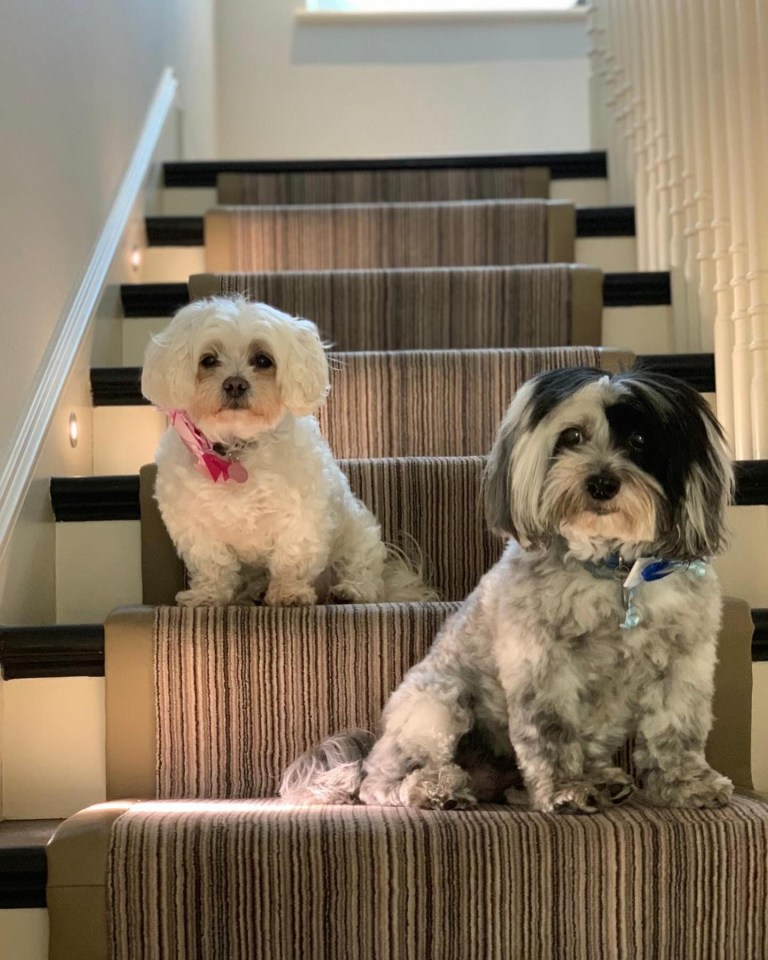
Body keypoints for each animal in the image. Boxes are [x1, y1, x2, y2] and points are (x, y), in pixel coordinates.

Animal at [142, 296, 436, 604]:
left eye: (263, 360)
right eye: (208, 360)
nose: (235, 384)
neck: (237, 448)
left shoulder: (302, 516)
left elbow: (291, 557)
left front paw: (289, 594)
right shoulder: (197, 526)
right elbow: (214, 566)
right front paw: (207, 596)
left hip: (357, 535)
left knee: (363, 570)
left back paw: (351, 591)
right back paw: (254, 591)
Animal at [280, 368, 736, 808]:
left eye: (640, 441)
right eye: (572, 437)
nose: (602, 483)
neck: (613, 572)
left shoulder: (684, 664)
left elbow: (676, 732)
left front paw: (688, 784)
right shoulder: (543, 666)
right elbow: (551, 733)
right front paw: (564, 790)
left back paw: (596, 780)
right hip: (439, 702)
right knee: (381, 781)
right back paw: (433, 789)